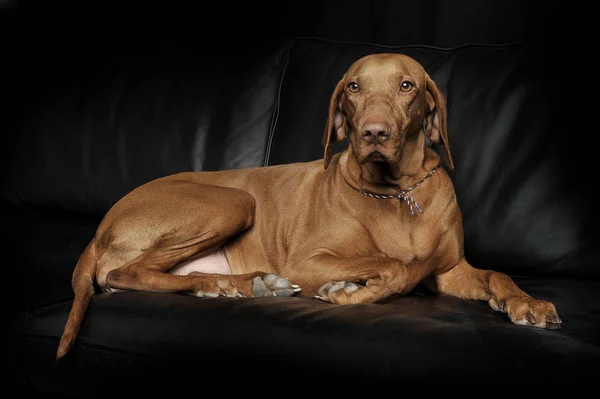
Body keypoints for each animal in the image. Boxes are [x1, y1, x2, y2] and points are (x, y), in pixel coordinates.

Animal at [57, 51, 564, 360]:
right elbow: (395, 267)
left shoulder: (450, 271)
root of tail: (101, 225)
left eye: (407, 86)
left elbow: (495, 274)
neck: (396, 193)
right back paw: (233, 284)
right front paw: (347, 291)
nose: (374, 133)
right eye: (355, 87)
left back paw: (240, 285)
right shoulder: (308, 261)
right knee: (121, 274)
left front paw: (528, 304)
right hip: (235, 201)